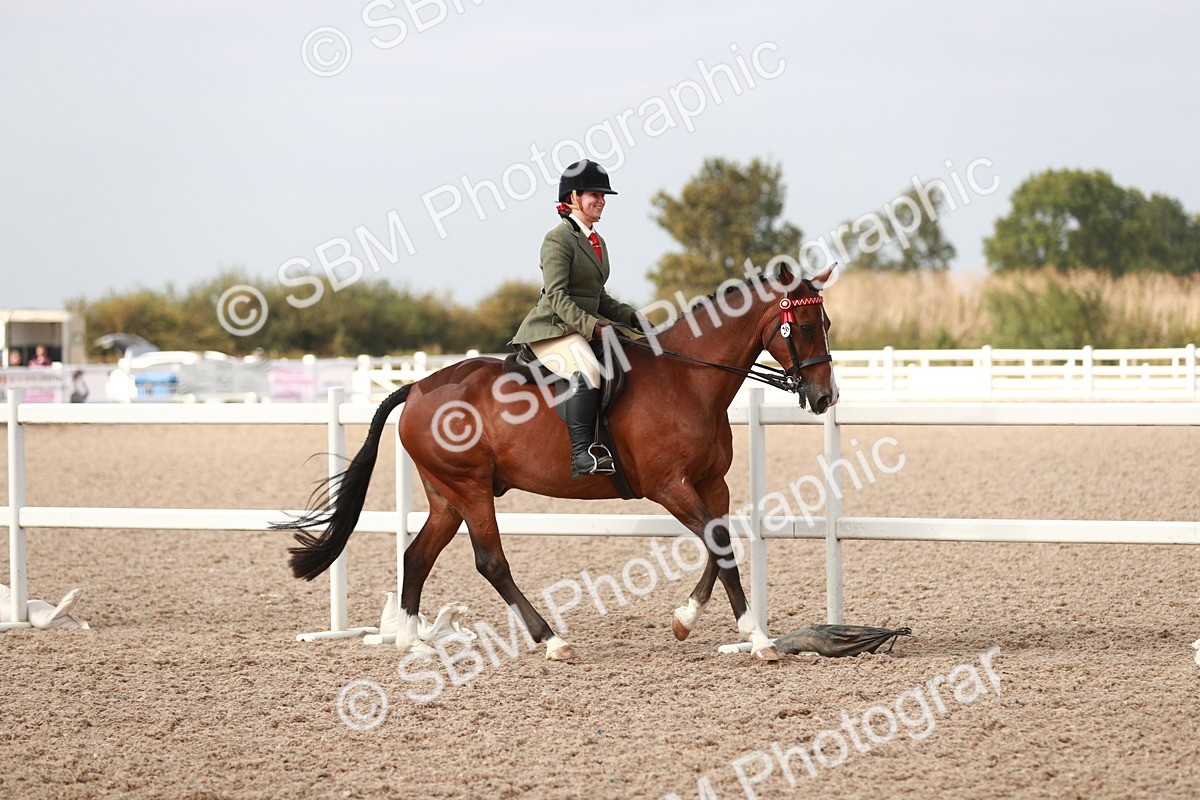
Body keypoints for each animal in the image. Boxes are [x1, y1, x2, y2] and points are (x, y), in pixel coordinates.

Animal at [274, 262, 840, 662]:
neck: (688, 380)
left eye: (826, 322)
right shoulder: (669, 486)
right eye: (803, 326)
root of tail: (416, 387)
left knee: (417, 556)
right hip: (470, 489)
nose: (825, 397)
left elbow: (720, 545)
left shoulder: (711, 484)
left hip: (447, 495)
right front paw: (757, 639)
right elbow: (719, 546)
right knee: (490, 562)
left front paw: (685, 619)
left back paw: (412, 643)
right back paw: (550, 640)